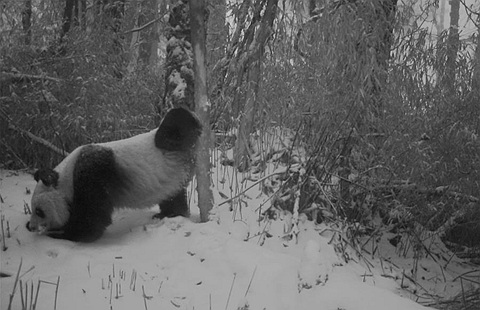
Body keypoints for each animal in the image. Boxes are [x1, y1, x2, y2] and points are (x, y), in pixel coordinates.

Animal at [26, 108, 202, 242]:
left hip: (173, 143)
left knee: (175, 122)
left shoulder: (93, 173)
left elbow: (93, 218)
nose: (30, 227)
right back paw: (167, 214)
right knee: (173, 196)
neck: (67, 175)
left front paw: (62, 233)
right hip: (173, 177)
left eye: (39, 211)